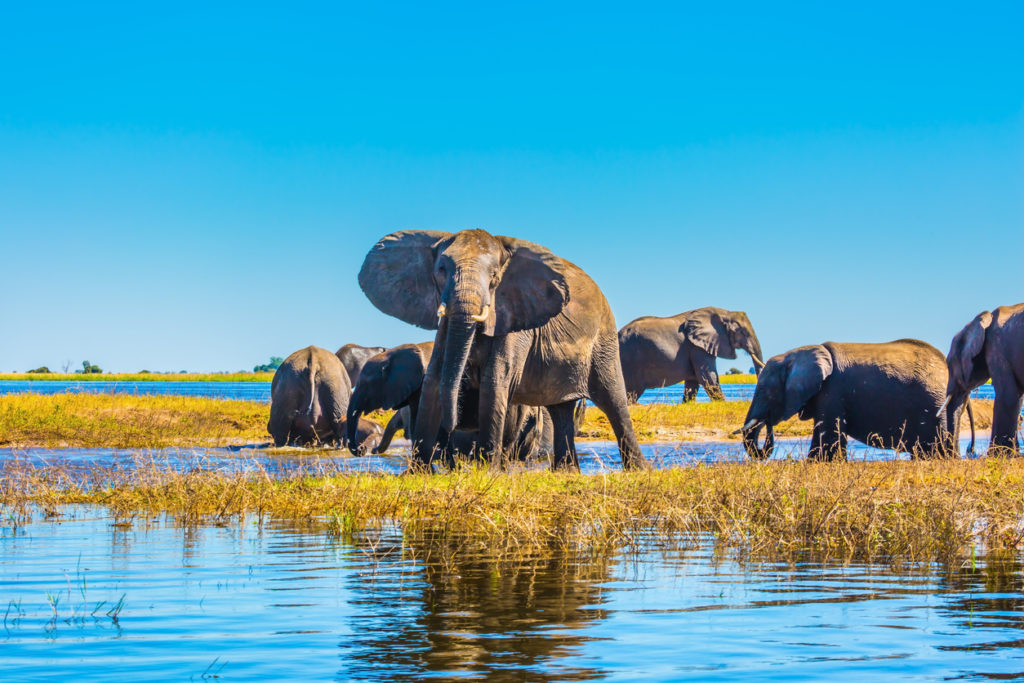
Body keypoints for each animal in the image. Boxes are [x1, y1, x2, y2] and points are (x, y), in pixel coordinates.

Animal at [614, 307, 761, 403]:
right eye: (743, 332)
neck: (725, 313)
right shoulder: (697, 347)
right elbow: (707, 376)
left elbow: (693, 380)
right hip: (631, 360)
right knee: (632, 392)